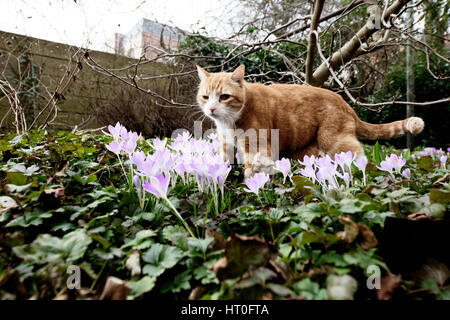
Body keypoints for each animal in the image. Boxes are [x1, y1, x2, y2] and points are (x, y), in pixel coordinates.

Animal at [196, 65, 426, 178]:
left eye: (224, 96)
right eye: (206, 97)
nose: (211, 109)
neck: (230, 120)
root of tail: (345, 103)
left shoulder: (257, 146)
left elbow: (254, 168)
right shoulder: (226, 144)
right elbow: (224, 160)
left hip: (334, 140)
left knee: (357, 156)